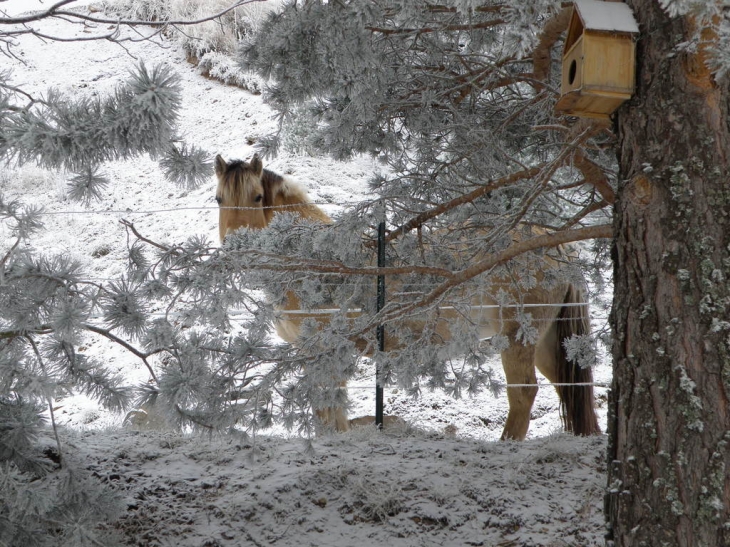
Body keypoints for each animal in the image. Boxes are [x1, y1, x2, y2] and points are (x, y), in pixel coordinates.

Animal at [213, 154, 600, 440]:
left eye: (257, 197)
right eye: (218, 199)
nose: (235, 249)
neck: (313, 259)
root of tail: (558, 247)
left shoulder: (324, 352)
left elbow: (328, 415)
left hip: (517, 338)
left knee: (523, 394)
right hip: (547, 341)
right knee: (570, 385)